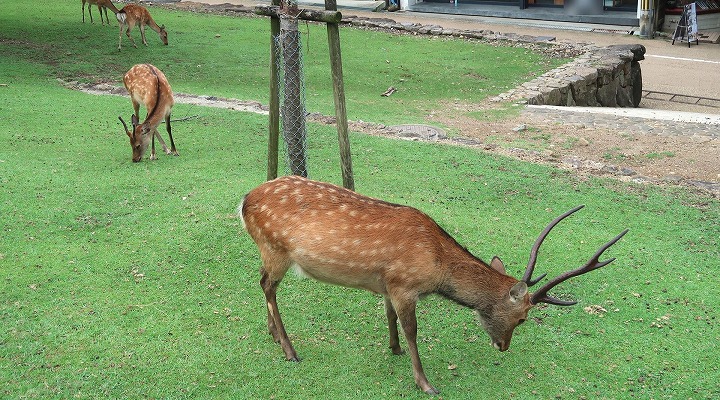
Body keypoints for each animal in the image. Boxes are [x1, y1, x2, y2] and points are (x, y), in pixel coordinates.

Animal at [239, 177, 628, 396]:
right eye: (522, 319)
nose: (503, 347)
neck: (437, 266)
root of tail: (244, 202)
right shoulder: (405, 284)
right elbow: (412, 330)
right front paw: (425, 383)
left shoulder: (388, 282)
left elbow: (389, 317)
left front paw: (393, 349)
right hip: (276, 248)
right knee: (266, 285)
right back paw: (290, 350)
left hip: (268, 250)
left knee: (262, 283)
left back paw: (273, 334)